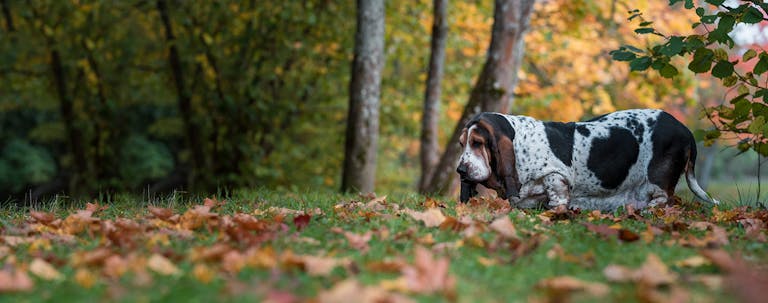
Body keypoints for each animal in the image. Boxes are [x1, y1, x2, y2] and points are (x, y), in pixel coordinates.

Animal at [456, 109, 712, 211]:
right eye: (462, 143)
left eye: (477, 143)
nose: (460, 170)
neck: (519, 141)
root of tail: (684, 129)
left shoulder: (556, 176)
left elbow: (557, 196)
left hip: (657, 182)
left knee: (665, 199)